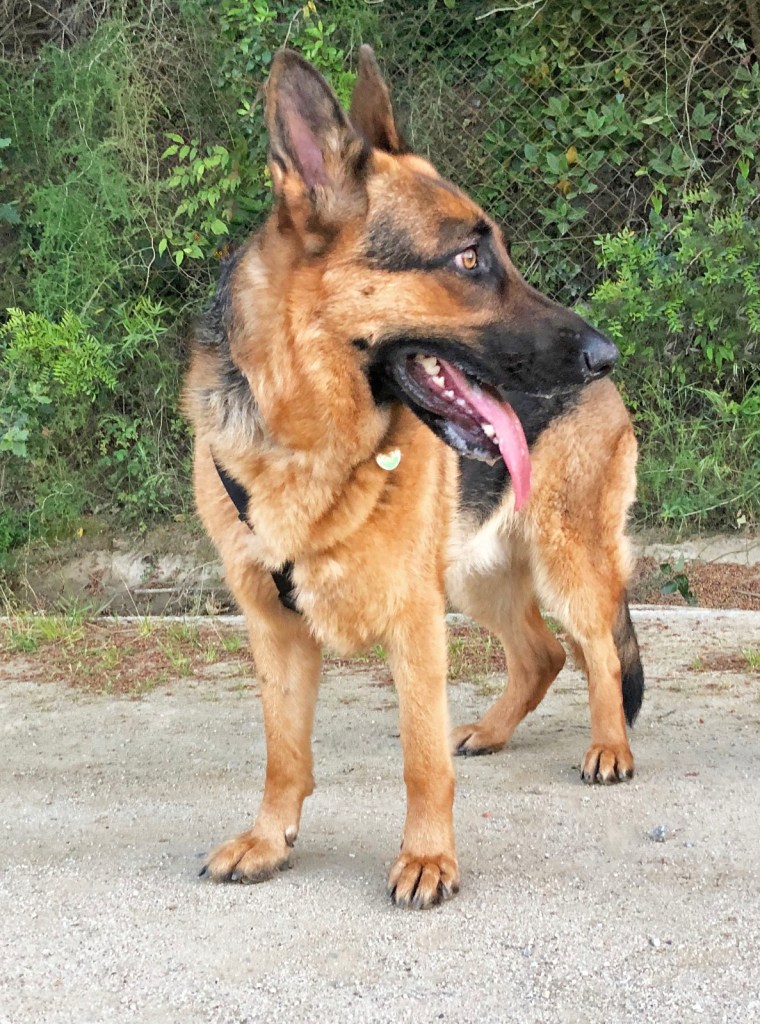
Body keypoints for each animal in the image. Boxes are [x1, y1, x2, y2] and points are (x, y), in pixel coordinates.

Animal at [183, 46, 643, 909]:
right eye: (468, 258)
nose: (605, 353)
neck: (310, 439)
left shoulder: (414, 620)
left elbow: (419, 758)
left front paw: (428, 858)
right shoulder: (273, 628)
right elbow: (283, 752)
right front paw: (268, 839)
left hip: (563, 561)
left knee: (596, 650)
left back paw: (611, 747)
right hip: (475, 576)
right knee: (542, 654)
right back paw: (493, 731)